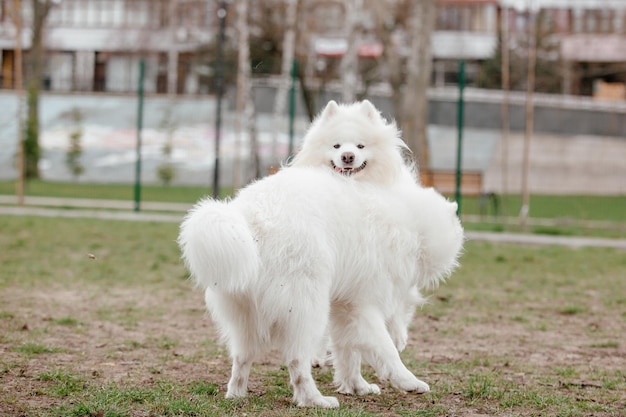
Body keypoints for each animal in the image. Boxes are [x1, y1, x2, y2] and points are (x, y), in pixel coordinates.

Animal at [178, 98, 460, 406]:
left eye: (360, 146)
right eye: (336, 146)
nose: (347, 157)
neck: (407, 217)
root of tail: (247, 218)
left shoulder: (344, 305)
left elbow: (349, 354)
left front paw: (357, 386)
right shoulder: (364, 303)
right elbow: (383, 347)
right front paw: (408, 381)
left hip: (246, 314)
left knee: (242, 358)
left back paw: (236, 394)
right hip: (306, 308)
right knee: (296, 362)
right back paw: (315, 400)